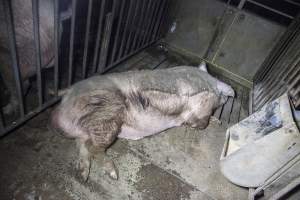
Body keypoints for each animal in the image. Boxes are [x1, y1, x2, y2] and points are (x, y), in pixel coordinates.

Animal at [50, 63, 236, 180]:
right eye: (224, 98)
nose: (226, 98)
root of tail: (66, 95)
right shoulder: (201, 107)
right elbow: (200, 122)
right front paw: (209, 122)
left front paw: (218, 122)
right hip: (107, 113)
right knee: (93, 147)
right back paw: (113, 174)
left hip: (87, 126)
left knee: (82, 144)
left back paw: (82, 176)